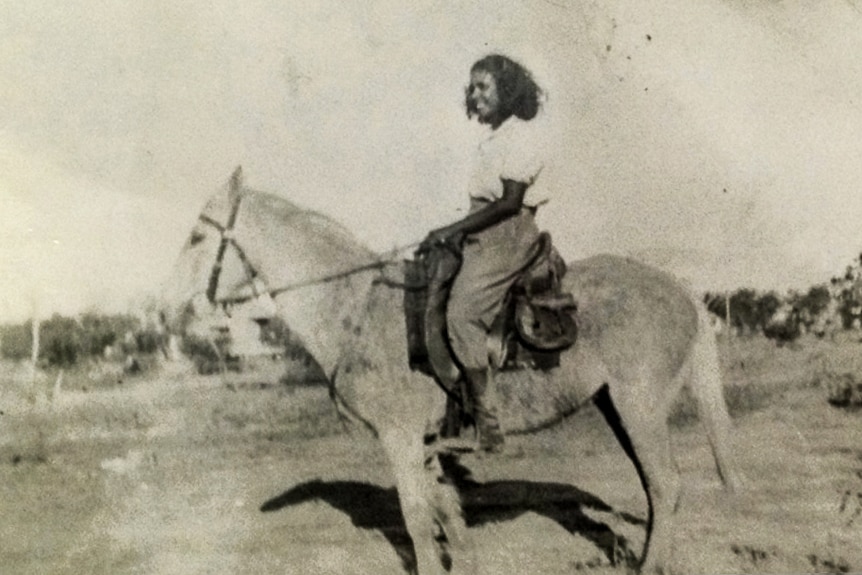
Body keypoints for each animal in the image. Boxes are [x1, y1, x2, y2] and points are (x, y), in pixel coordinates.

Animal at [164, 169, 744, 572]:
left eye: (195, 237)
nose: (169, 311)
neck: (355, 307)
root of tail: (679, 286)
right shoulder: (424, 443)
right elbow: (447, 515)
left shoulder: (399, 438)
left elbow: (417, 520)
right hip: (615, 406)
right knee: (653, 488)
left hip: (637, 404)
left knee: (665, 486)